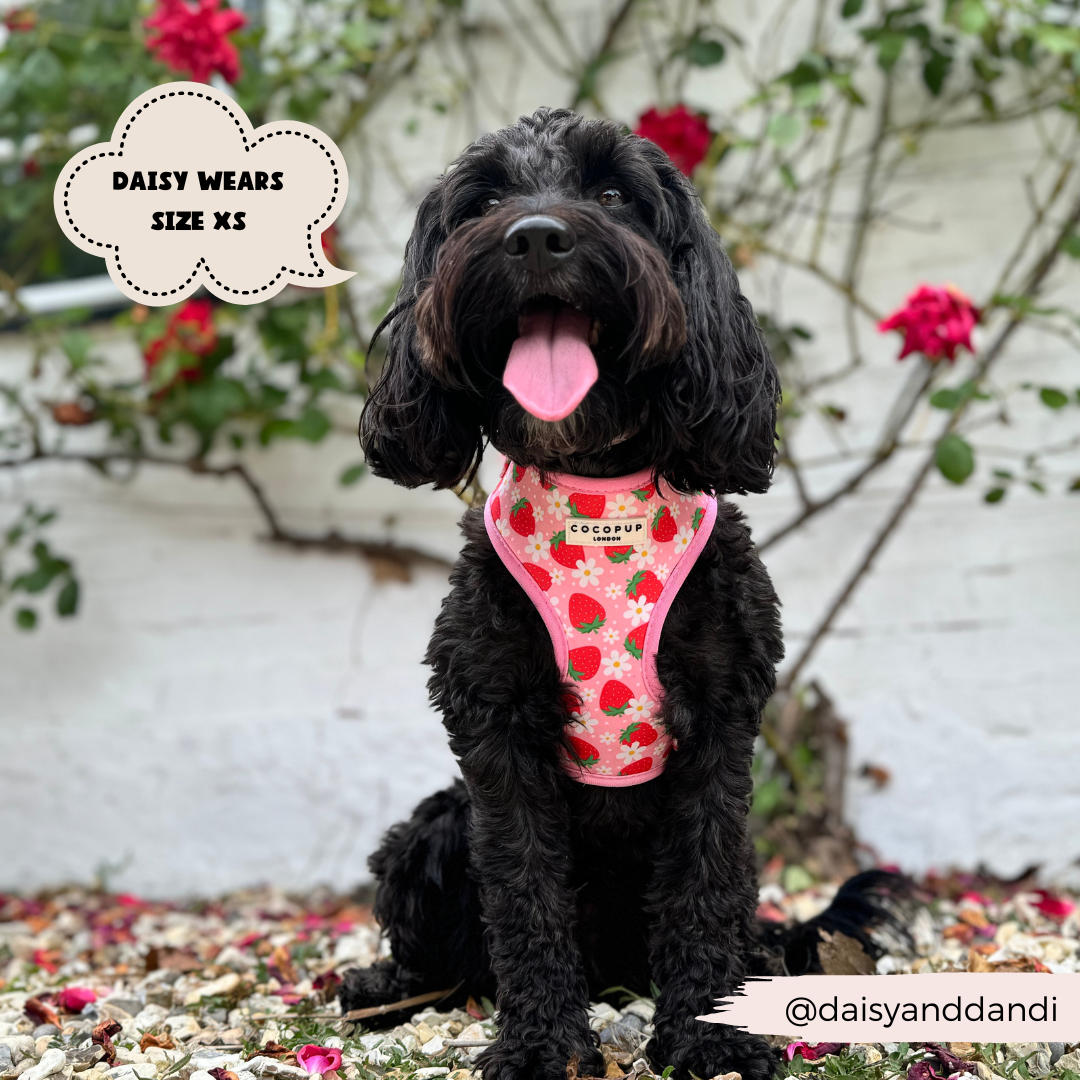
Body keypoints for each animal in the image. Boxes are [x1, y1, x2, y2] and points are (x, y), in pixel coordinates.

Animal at [345, 109, 894, 1080]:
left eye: (611, 193)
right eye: (483, 201)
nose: (534, 236)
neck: (596, 485)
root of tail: (612, 971)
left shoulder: (720, 720)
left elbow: (702, 887)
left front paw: (709, 1037)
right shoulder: (494, 724)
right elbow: (523, 892)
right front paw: (538, 1045)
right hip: (433, 830)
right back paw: (388, 990)